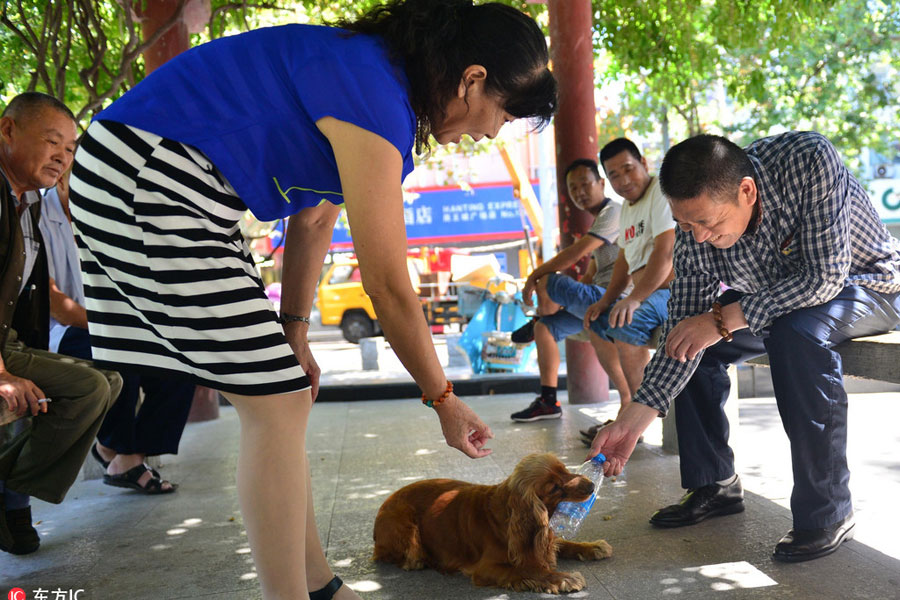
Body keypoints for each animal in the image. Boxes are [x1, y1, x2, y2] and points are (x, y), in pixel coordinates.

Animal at [370, 452, 612, 592]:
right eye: (554, 487)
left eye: (565, 469)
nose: (592, 486)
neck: (507, 512)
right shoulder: (486, 568)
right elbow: (528, 570)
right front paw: (563, 578)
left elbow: (561, 543)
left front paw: (591, 546)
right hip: (404, 523)